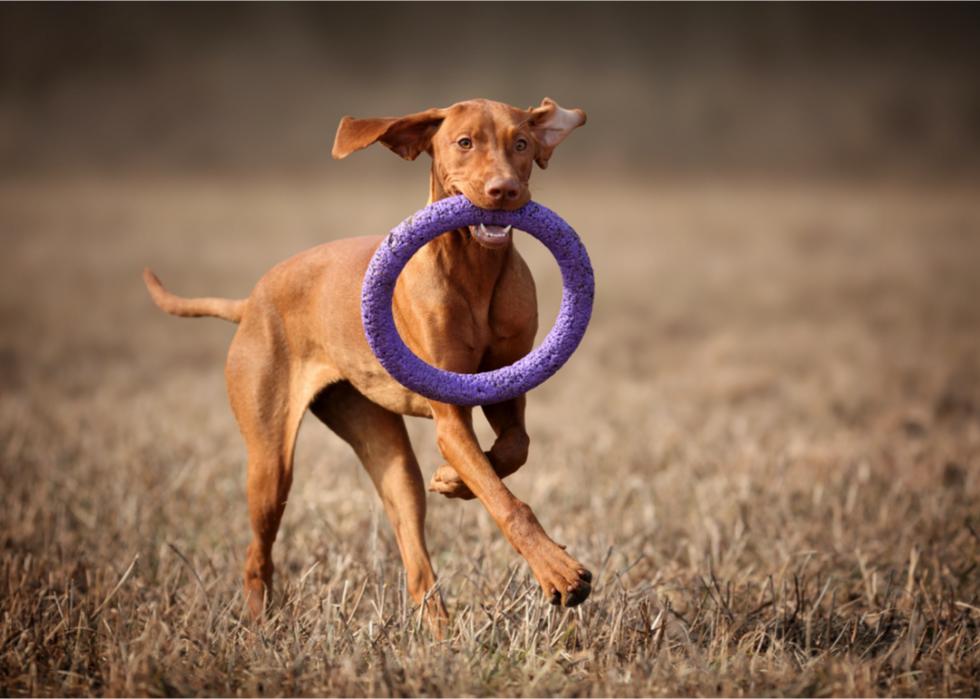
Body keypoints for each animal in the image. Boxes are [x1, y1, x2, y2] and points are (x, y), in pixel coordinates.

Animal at [144, 95, 588, 628]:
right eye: (465, 142)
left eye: (520, 143)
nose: (505, 190)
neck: (475, 270)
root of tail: (251, 301)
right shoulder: (451, 417)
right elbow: (502, 497)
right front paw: (557, 571)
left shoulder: (506, 389)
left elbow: (513, 450)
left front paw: (454, 480)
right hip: (270, 465)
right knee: (256, 555)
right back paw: (257, 630)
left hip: (386, 454)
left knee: (415, 556)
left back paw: (441, 633)